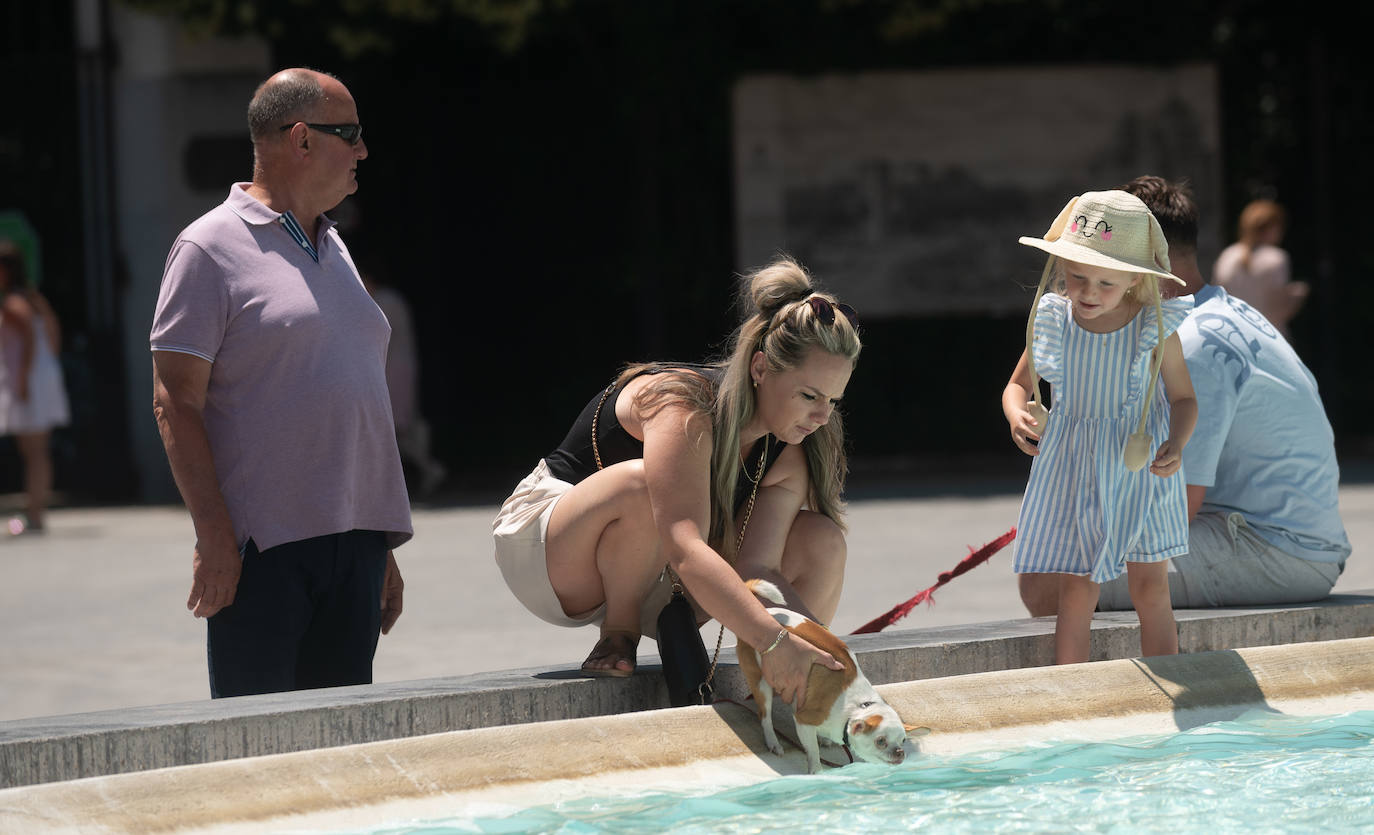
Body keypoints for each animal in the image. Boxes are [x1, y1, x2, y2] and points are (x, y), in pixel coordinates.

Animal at [741, 576, 923, 774]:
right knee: (765, 716)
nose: (899, 752)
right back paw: (773, 742)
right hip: (760, 681)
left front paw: (823, 739)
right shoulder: (804, 721)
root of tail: (766, 611)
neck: (859, 707)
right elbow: (813, 750)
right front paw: (816, 770)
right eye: (880, 741)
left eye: (903, 741)